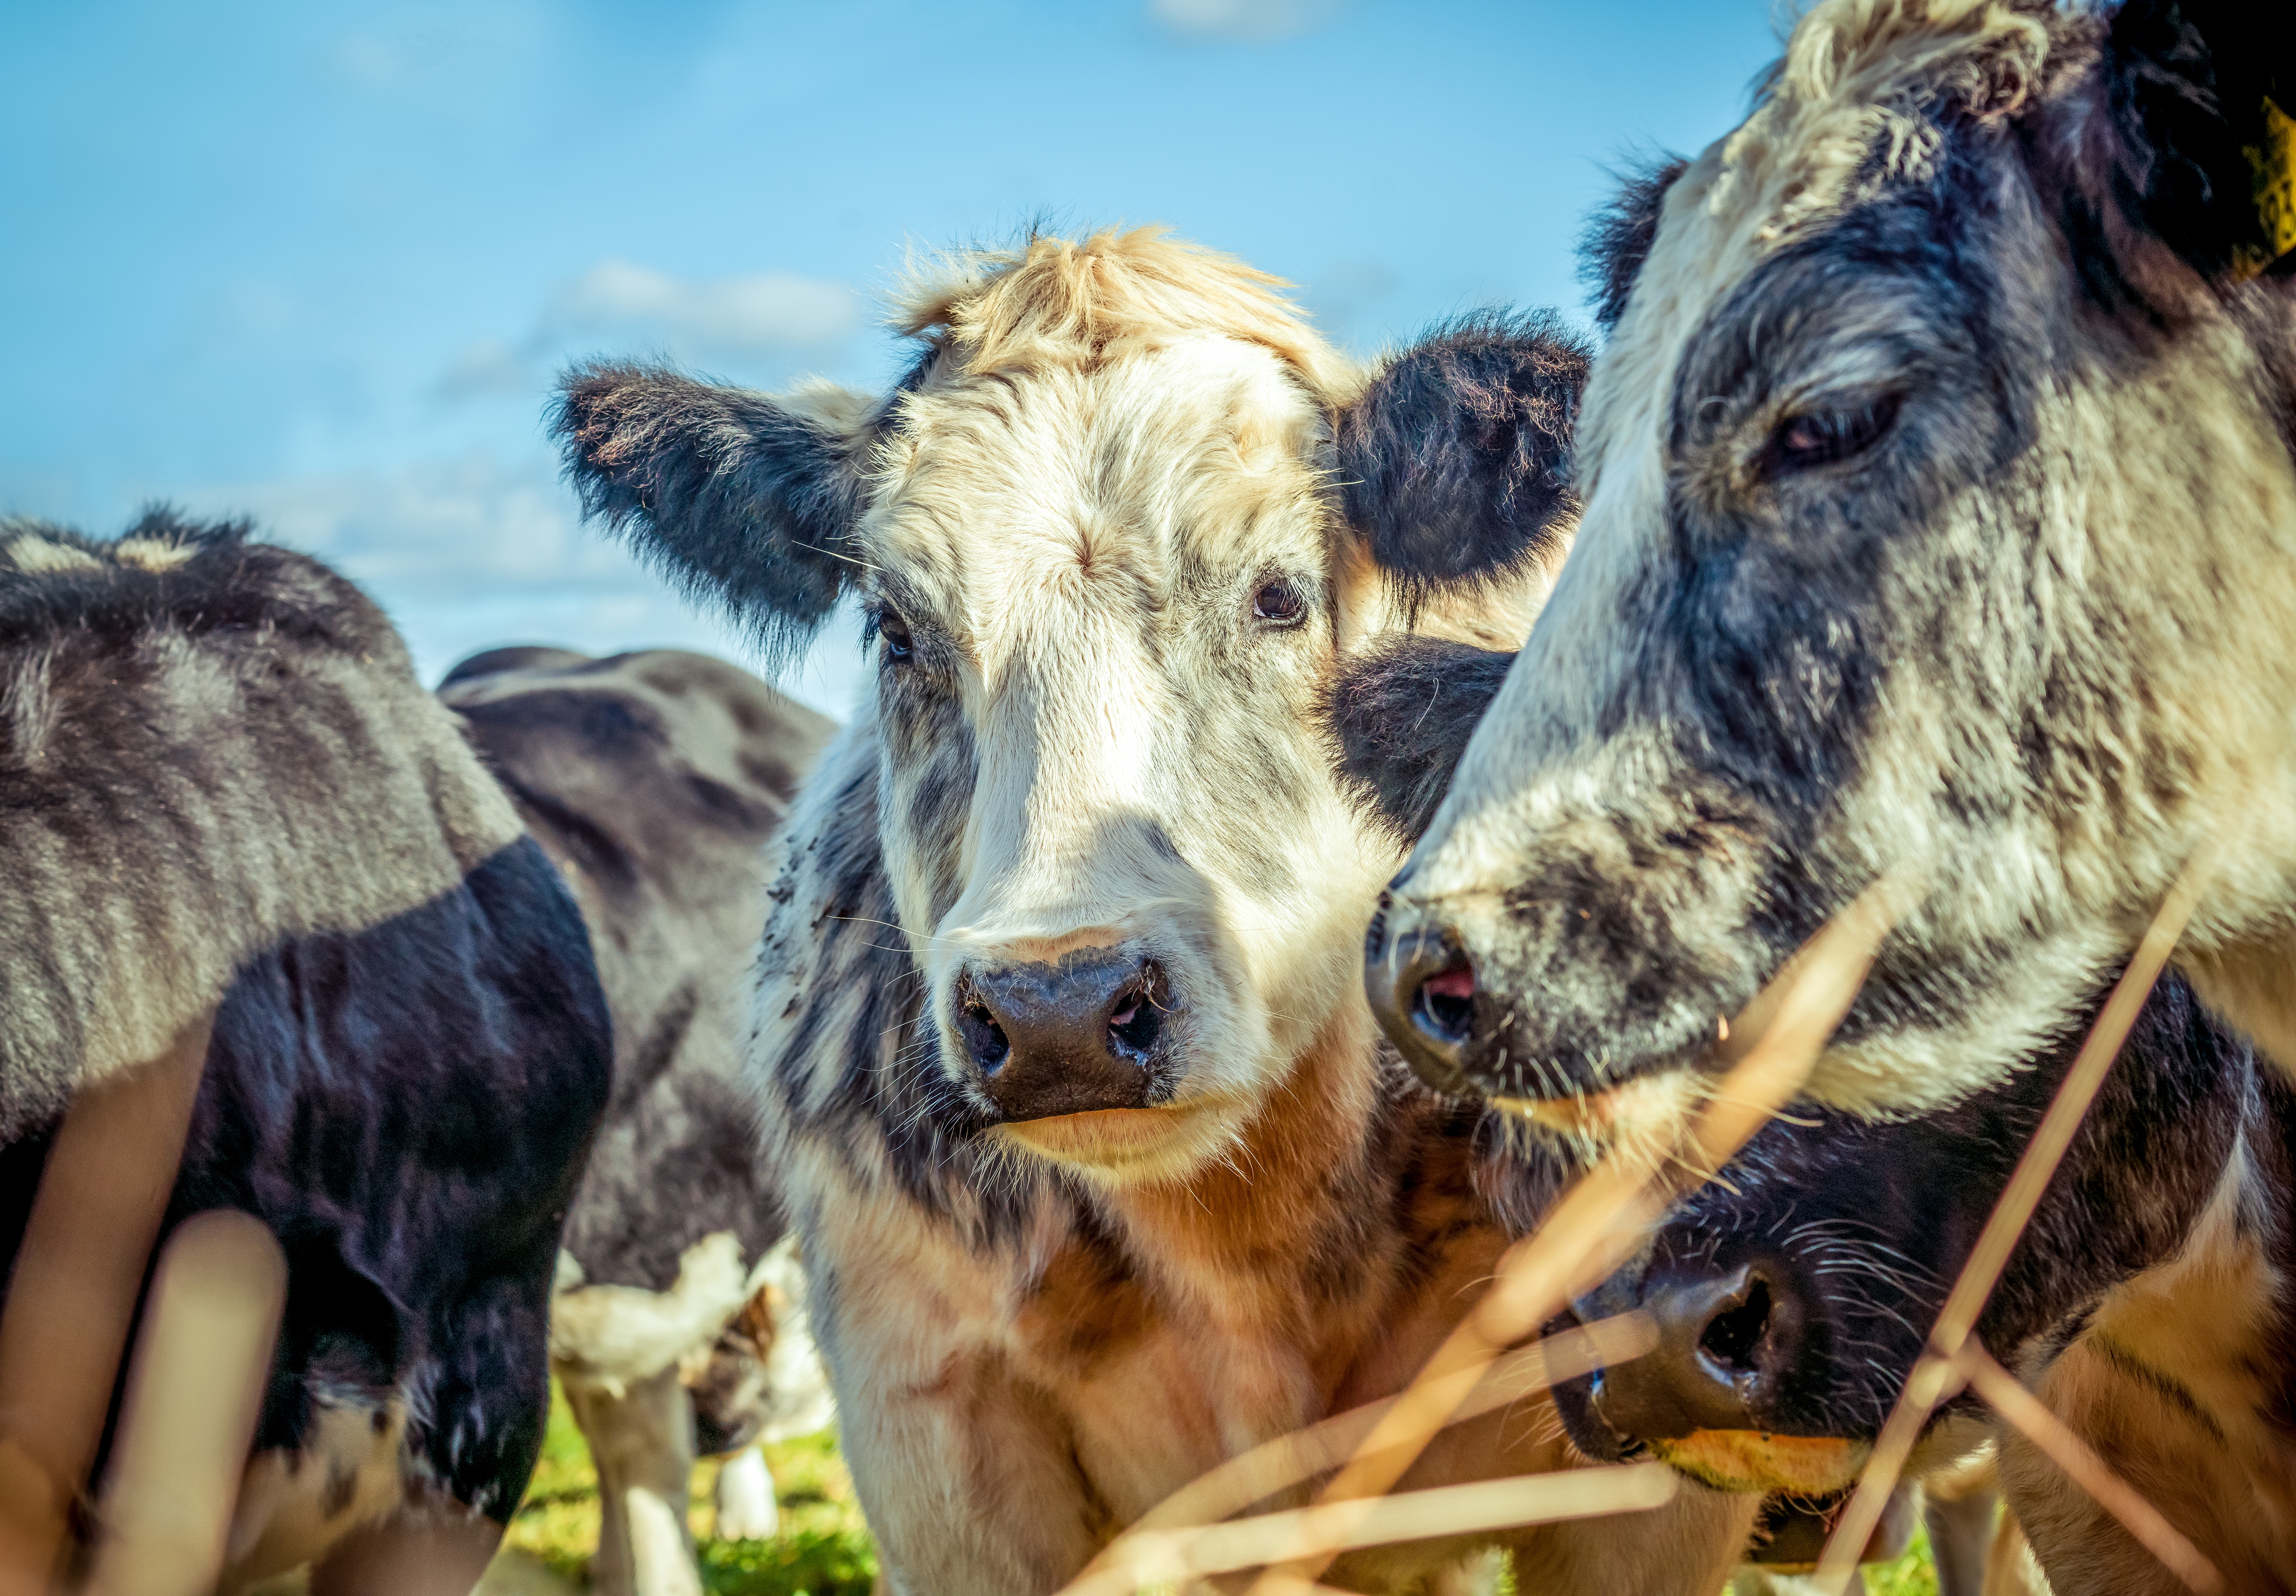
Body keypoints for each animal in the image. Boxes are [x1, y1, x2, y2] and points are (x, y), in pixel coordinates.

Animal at [549, 226, 1764, 1595]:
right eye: (895, 628)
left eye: (1279, 595)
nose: (1059, 1008)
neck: (1248, 1255)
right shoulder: (928, 1426)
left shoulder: (1657, 1473)